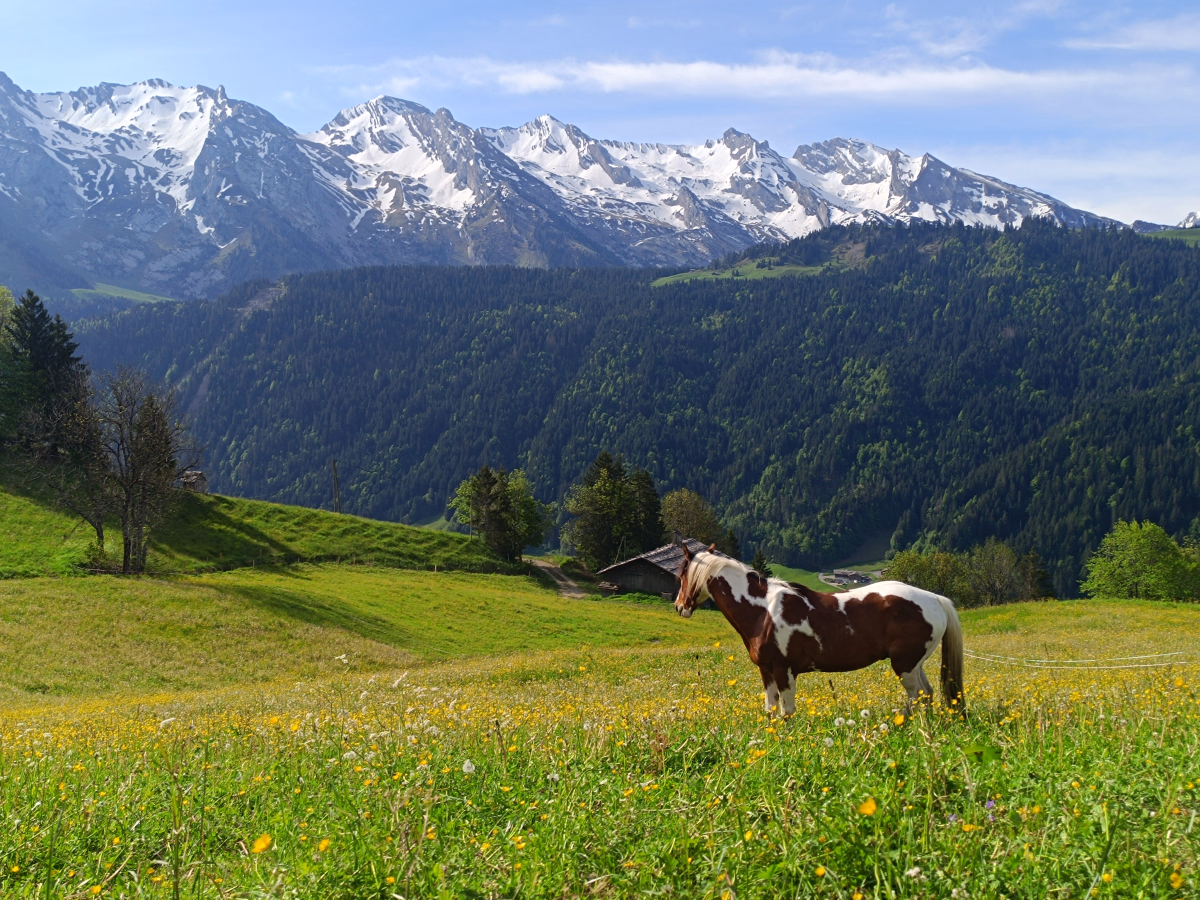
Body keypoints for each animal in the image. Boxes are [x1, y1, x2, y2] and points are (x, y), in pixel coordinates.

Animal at [674, 544, 964, 716]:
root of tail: (935, 599)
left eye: (681, 574)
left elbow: (787, 713)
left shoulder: (784, 670)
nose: (679, 606)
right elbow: (771, 710)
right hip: (914, 663)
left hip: (904, 665)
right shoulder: (766, 671)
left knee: (916, 696)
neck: (762, 611)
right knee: (927, 694)